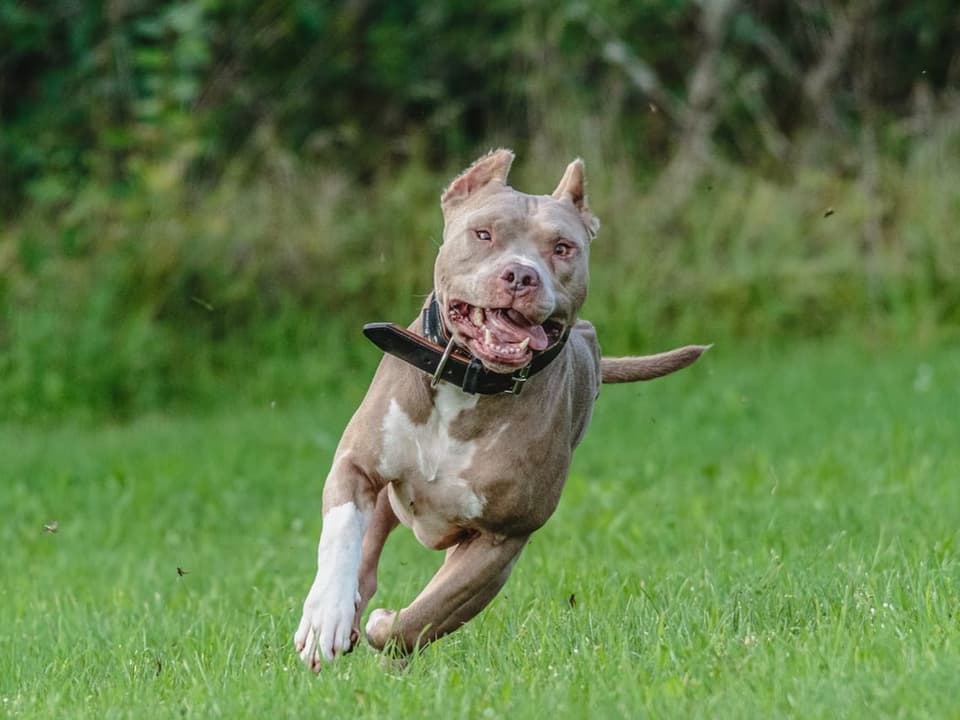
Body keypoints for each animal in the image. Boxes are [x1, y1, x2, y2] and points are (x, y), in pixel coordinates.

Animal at [292, 148, 704, 668]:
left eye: (562, 248)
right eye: (483, 234)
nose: (521, 275)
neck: (470, 380)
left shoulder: (501, 539)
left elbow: (427, 613)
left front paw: (386, 627)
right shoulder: (357, 465)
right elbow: (342, 535)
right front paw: (324, 618)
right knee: (366, 553)